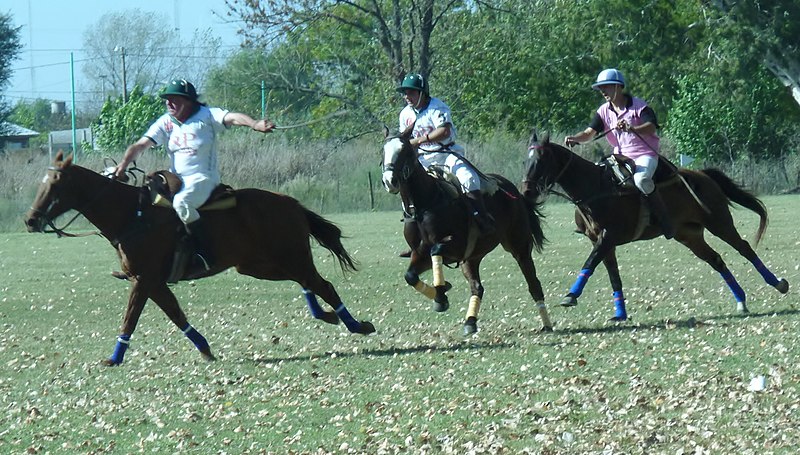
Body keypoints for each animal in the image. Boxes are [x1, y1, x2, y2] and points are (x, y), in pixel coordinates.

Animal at [24, 153, 376, 366]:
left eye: (55, 184)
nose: (30, 220)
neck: (131, 216)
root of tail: (292, 203)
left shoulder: (144, 279)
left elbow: (131, 318)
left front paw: (114, 358)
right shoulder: (151, 281)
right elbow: (175, 314)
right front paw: (204, 348)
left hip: (287, 256)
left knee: (323, 284)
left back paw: (357, 325)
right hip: (257, 265)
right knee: (307, 282)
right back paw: (328, 316)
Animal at [380, 128, 552, 334]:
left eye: (405, 151)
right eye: (382, 151)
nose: (390, 181)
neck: (424, 204)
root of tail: (516, 192)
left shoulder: (455, 246)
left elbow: (436, 249)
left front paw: (441, 292)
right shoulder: (419, 253)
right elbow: (410, 276)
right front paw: (441, 292)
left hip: (519, 247)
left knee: (534, 284)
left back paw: (547, 324)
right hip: (472, 258)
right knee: (477, 287)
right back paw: (470, 321)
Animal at [520, 134, 792, 322]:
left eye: (541, 160)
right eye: (526, 160)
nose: (527, 192)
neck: (594, 189)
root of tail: (703, 175)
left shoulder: (609, 236)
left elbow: (590, 263)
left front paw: (570, 296)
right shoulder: (601, 240)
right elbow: (613, 275)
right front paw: (620, 313)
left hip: (719, 222)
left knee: (744, 248)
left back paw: (778, 284)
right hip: (688, 234)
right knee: (716, 259)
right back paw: (741, 302)